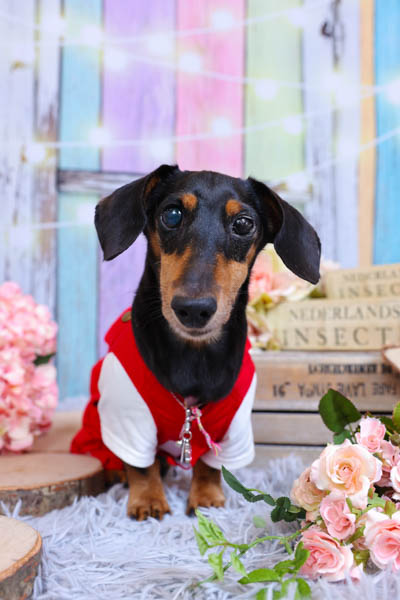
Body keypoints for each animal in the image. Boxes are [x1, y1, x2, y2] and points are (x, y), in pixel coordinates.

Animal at [71, 164, 321, 520]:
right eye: (172, 214)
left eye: (243, 223)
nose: (193, 309)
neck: (195, 356)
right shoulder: (127, 416)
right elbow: (141, 466)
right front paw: (148, 500)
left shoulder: (234, 427)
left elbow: (210, 466)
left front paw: (206, 498)